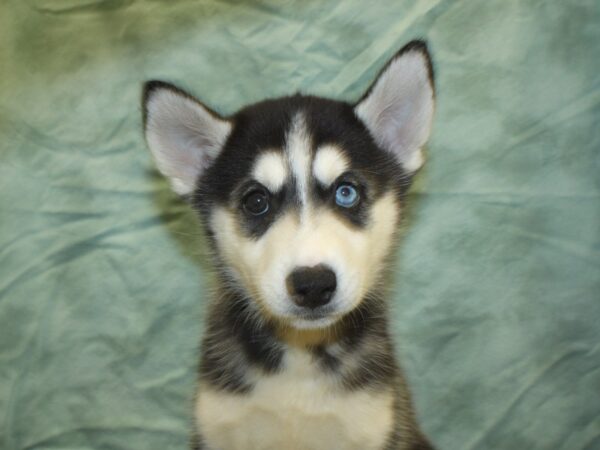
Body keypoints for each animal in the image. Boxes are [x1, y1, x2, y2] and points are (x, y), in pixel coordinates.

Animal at [144, 40, 438, 448]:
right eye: (256, 201)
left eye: (346, 192)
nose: (313, 284)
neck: (300, 354)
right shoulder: (219, 425)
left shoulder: (373, 423)